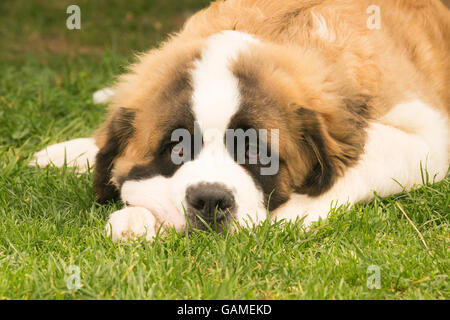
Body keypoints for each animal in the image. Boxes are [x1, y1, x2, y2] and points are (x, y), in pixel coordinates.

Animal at [33, 0, 450, 242]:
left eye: (256, 153)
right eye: (177, 148)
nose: (210, 200)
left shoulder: (429, 138)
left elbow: (360, 161)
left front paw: (296, 211)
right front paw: (133, 215)